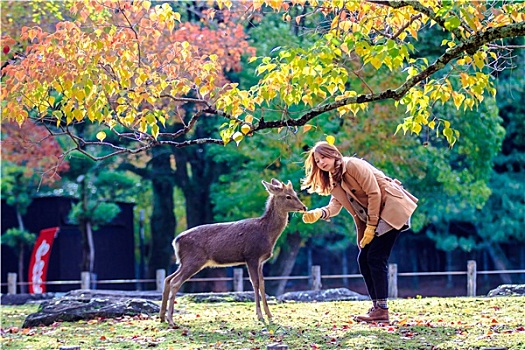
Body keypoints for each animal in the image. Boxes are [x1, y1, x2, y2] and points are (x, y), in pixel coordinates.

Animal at [160, 179, 308, 326]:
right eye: (288, 196)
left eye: (295, 193)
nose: (304, 207)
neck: (267, 233)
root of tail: (176, 241)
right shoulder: (251, 255)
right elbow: (255, 283)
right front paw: (260, 316)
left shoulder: (261, 261)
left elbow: (262, 283)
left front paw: (270, 315)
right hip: (193, 260)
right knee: (175, 282)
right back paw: (171, 320)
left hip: (185, 262)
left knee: (168, 278)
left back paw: (162, 317)